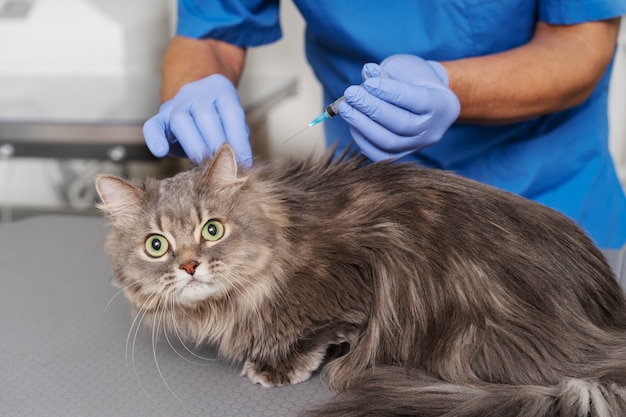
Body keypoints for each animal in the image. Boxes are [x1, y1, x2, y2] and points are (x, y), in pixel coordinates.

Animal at [95, 144, 624, 416]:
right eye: (156, 245)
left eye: (212, 230)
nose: (189, 267)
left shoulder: (354, 282)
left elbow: (313, 333)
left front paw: (277, 367)